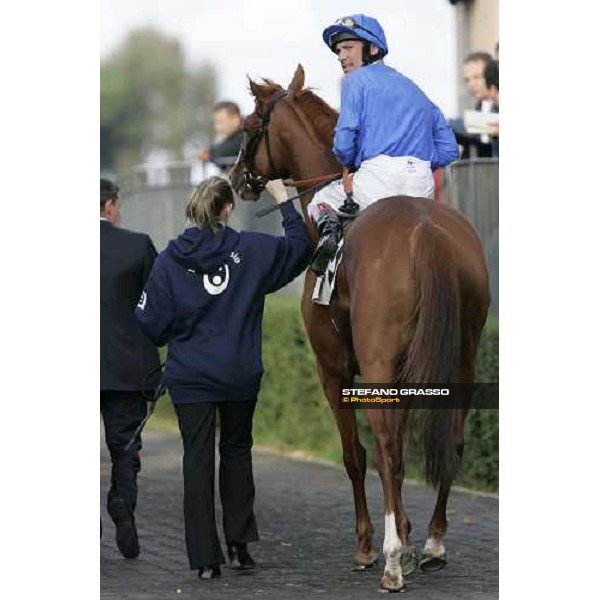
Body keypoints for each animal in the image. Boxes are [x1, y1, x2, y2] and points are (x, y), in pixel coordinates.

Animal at [229, 65, 488, 592]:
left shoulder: (333, 369)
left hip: (377, 362)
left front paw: (371, 545)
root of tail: (425, 229)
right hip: (463, 355)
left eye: (248, 127)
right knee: (450, 440)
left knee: (385, 446)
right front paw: (407, 535)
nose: (237, 177)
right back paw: (432, 544)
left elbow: (355, 454)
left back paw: (390, 560)